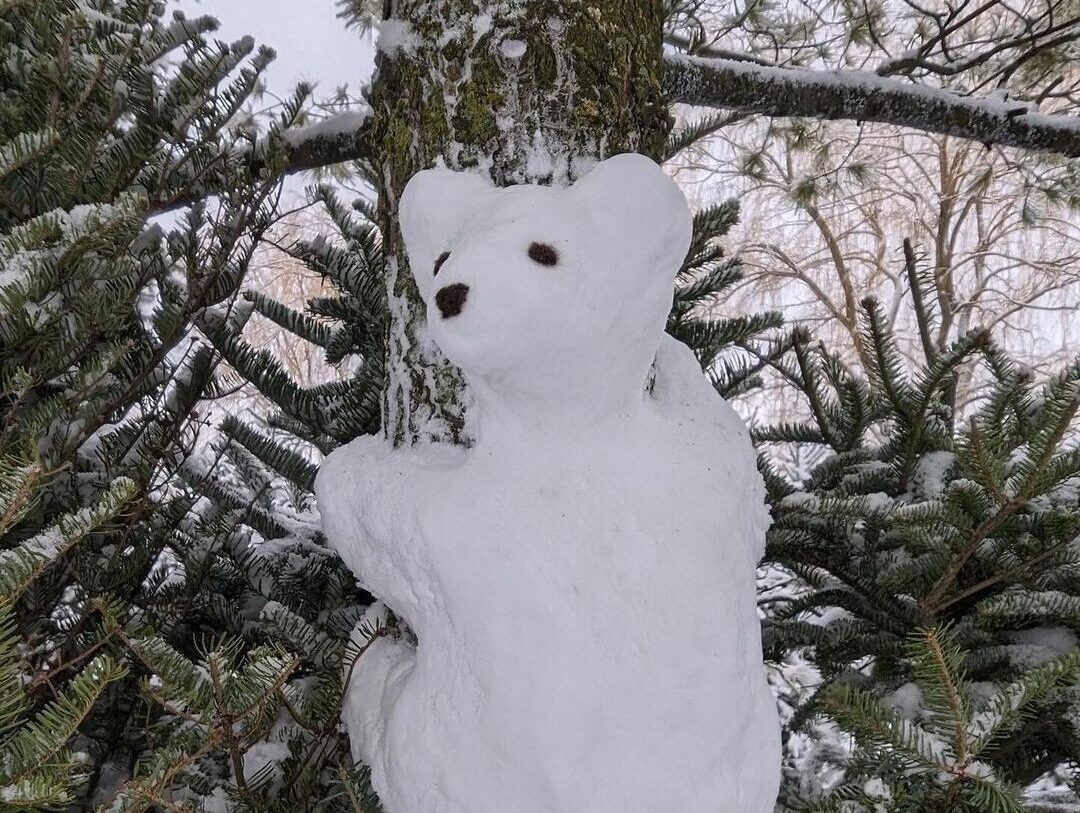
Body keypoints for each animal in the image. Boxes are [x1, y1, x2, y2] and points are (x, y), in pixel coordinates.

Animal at [315, 153, 782, 813]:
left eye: (544, 252)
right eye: (443, 256)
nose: (450, 293)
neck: (574, 427)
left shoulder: (460, 520)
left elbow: (373, 518)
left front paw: (348, 466)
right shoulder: (706, 472)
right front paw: (676, 359)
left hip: (424, 749)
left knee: (372, 697)